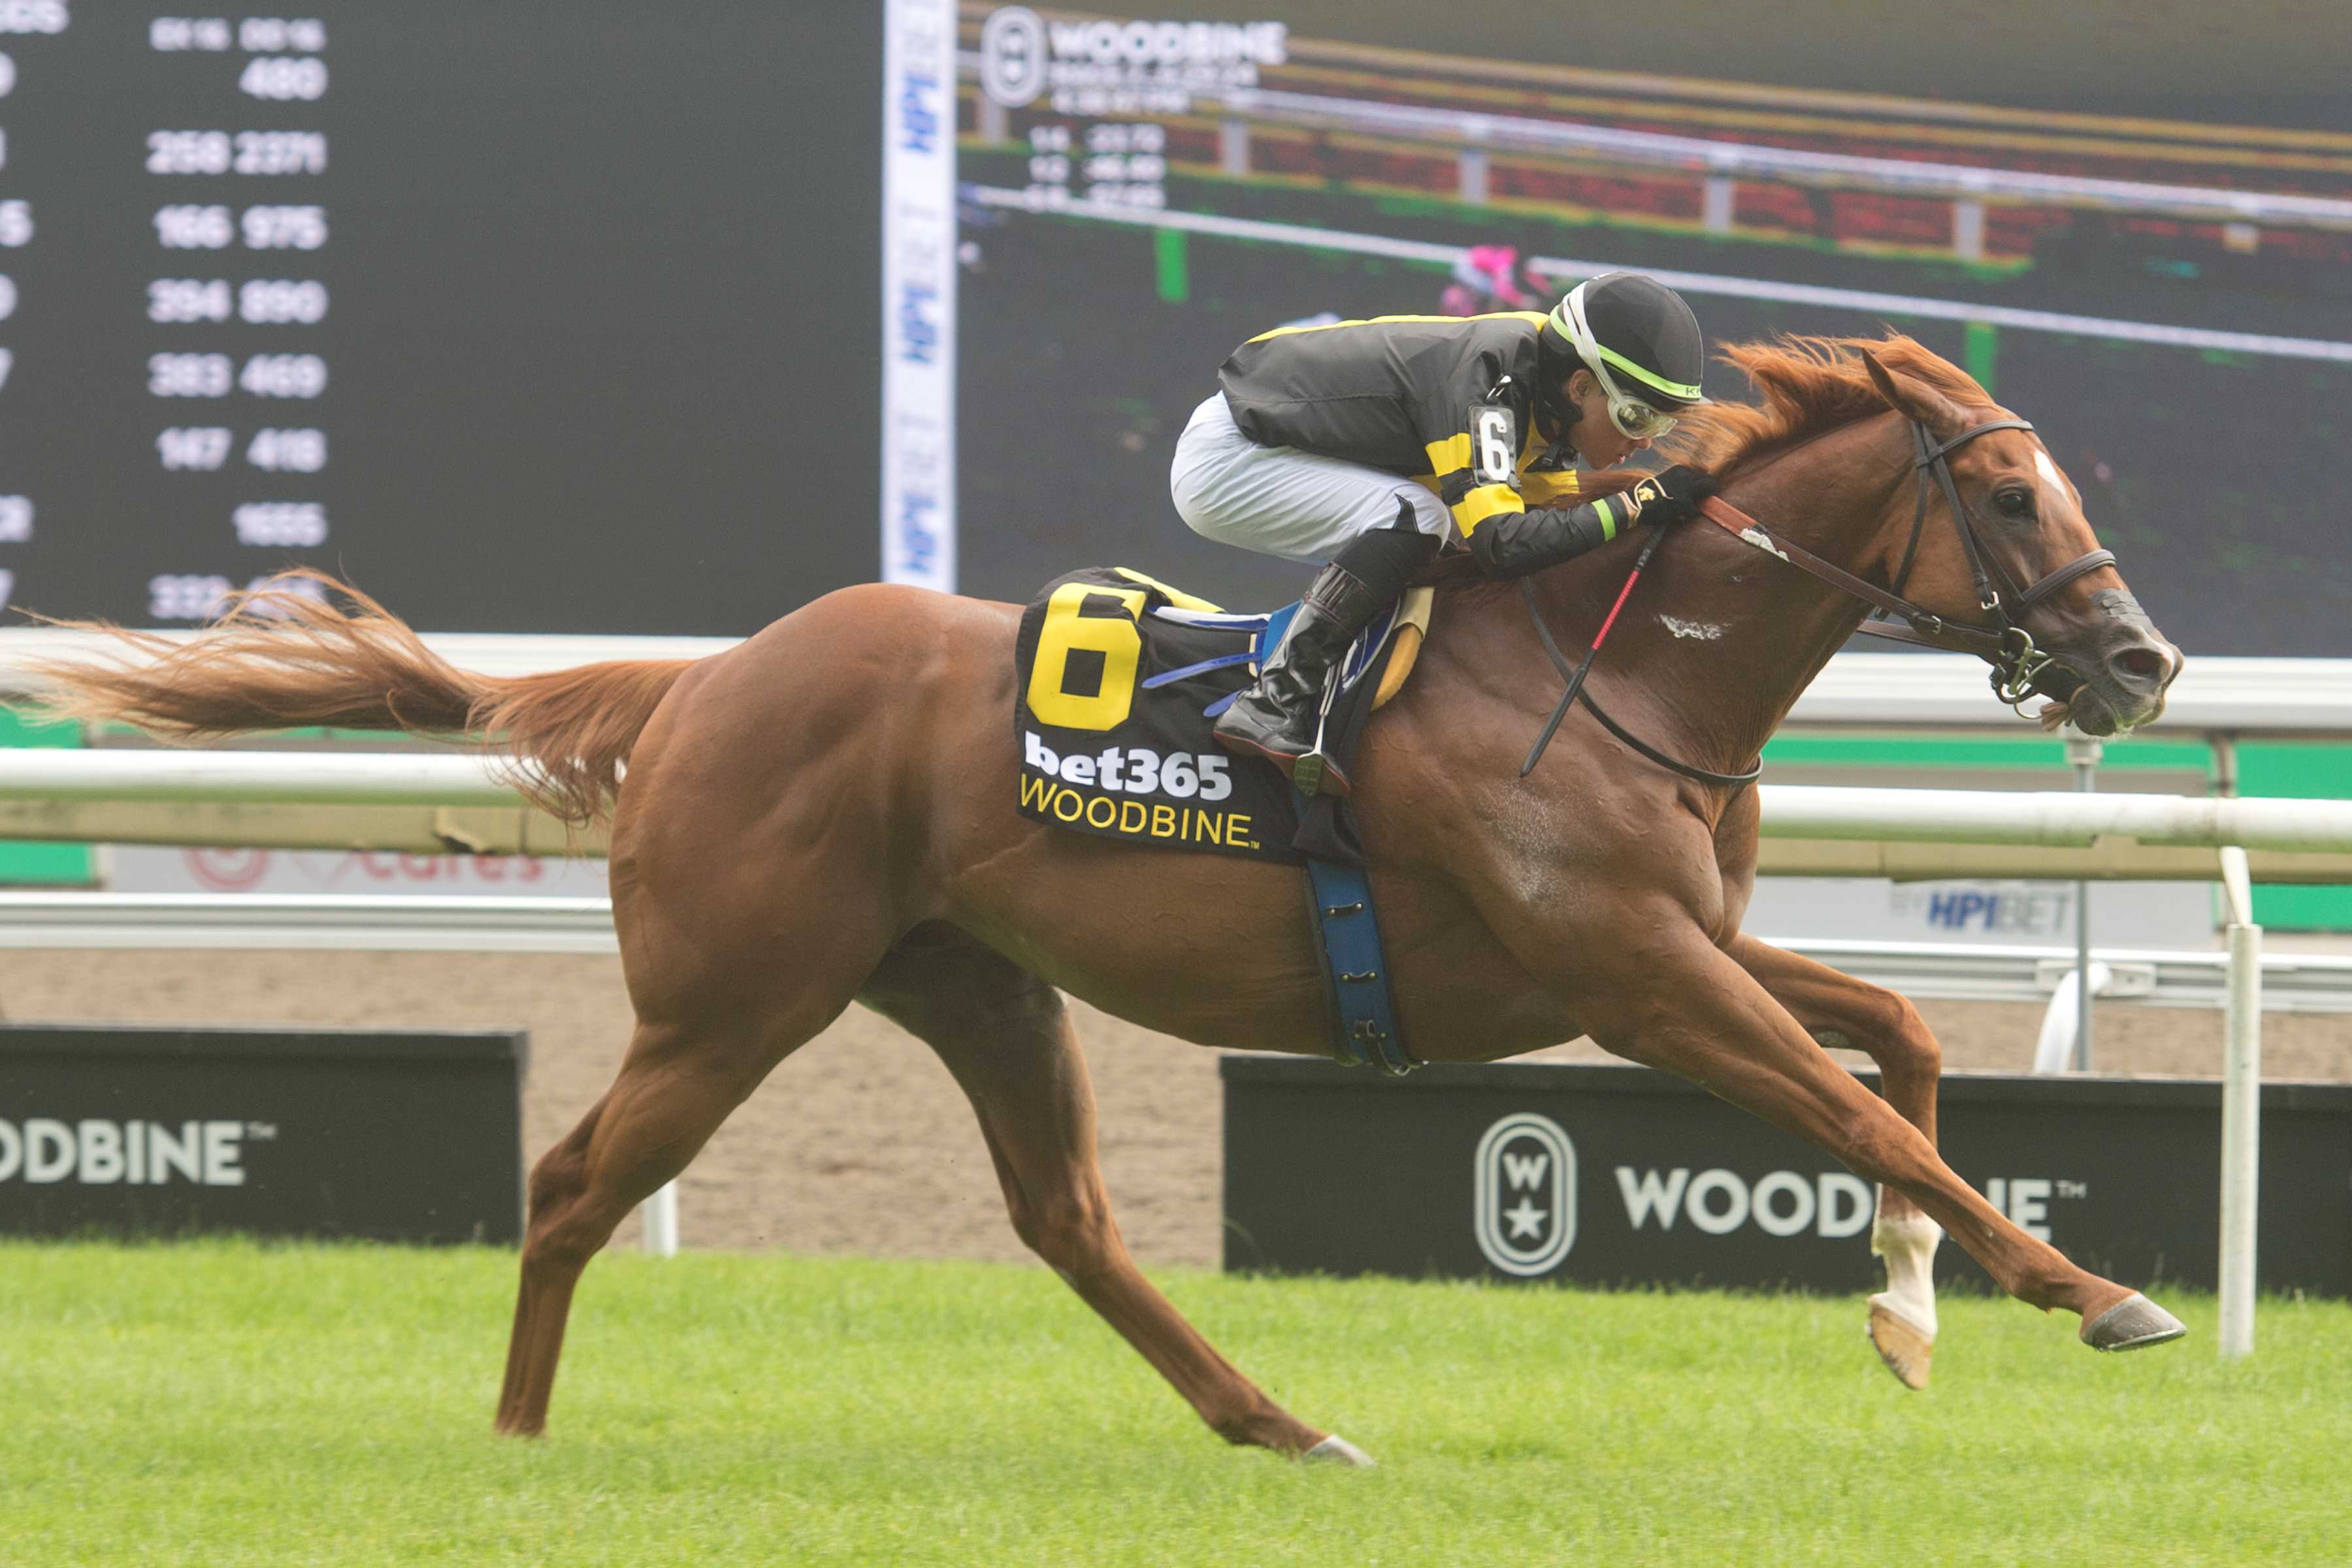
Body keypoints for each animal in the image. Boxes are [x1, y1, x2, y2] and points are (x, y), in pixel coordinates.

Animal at [32, 338, 2182, 1467]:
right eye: (2011, 497)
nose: (2143, 661)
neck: (1618, 658)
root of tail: (700, 681)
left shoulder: (1685, 945)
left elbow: (1900, 1045)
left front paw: (1906, 1307)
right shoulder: (1635, 975)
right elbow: (1859, 1111)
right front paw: (2090, 1288)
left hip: (977, 984)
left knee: (1066, 1215)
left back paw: (1284, 1425)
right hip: (732, 996)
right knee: (571, 1181)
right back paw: (517, 1442)